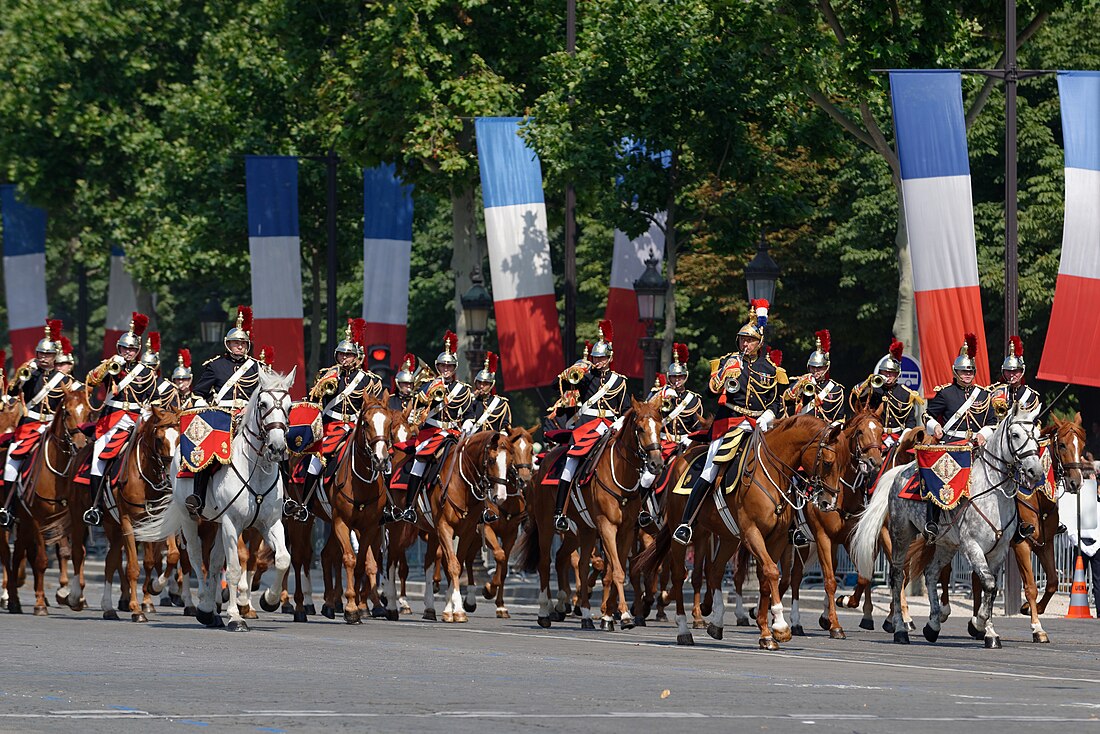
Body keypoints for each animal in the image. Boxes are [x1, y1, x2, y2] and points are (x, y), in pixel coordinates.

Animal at [4, 385, 90, 616]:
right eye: (67, 412)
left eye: (89, 413)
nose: (80, 445)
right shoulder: (37, 518)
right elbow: (41, 560)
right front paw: (41, 604)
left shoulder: (69, 519)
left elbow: (72, 552)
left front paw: (72, 595)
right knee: (7, 553)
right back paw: (11, 597)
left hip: (24, 523)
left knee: (19, 552)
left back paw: (15, 599)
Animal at [133, 367, 297, 633]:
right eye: (262, 404)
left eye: (290, 406)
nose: (276, 447)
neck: (256, 470)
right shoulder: (232, 523)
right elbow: (233, 570)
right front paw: (235, 617)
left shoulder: (269, 523)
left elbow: (283, 559)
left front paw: (269, 600)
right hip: (191, 520)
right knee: (196, 559)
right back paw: (204, 608)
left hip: (218, 525)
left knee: (214, 561)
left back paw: (211, 611)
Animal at [521, 396, 664, 633]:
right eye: (641, 428)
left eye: (661, 428)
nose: (656, 464)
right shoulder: (606, 527)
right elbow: (616, 571)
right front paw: (624, 615)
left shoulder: (626, 531)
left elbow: (614, 570)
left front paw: (609, 615)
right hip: (547, 525)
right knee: (545, 563)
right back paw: (545, 612)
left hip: (585, 531)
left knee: (576, 563)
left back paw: (586, 614)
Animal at [633, 415, 844, 651]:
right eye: (828, 462)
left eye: (843, 463)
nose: (828, 503)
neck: (770, 474)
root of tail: (680, 459)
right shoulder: (751, 533)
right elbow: (772, 572)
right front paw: (780, 626)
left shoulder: (778, 539)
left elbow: (766, 578)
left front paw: (766, 633)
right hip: (682, 534)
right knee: (679, 575)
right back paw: (683, 629)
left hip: (727, 538)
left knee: (715, 570)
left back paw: (716, 623)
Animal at [853, 402, 1042, 647]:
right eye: (1015, 434)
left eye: (1036, 435)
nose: (1035, 471)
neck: (991, 493)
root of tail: (899, 472)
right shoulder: (972, 546)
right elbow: (989, 584)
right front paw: (979, 623)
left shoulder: (999, 550)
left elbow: (991, 589)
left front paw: (989, 632)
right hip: (901, 535)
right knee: (897, 576)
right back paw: (901, 630)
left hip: (946, 544)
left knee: (931, 573)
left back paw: (933, 625)